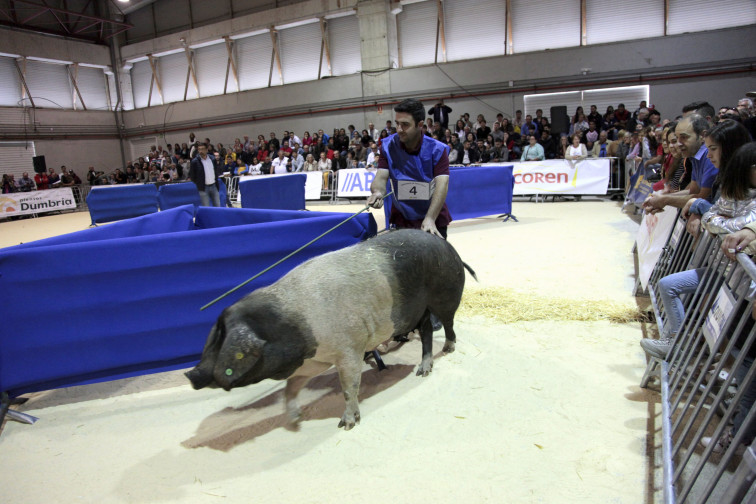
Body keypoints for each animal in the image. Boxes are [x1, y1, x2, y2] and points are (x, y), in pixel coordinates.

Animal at [185, 228, 476, 430]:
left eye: (222, 341)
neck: (294, 326)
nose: (191, 374)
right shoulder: (315, 361)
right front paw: (294, 419)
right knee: (426, 332)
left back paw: (445, 351)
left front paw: (346, 424)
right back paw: (422, 369)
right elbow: (292, 386)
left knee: (447, 324)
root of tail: (451, 249)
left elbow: (349, 386)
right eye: (213, 339)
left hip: (445, 296)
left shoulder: (349, 349)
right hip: (418, 313)